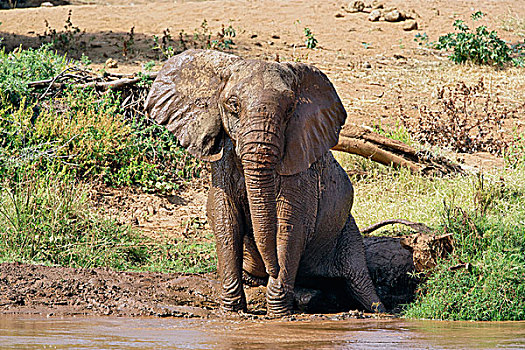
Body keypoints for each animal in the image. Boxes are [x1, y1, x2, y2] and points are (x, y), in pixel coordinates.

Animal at [143, 48, 384, 314]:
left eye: (290, 110)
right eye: (233, 105)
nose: (272, 270)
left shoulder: (300, 168)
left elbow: (290, 225)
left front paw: (278, 313)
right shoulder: (223, 160)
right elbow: (225, 219)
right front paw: (232, 311)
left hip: (348, 232)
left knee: (361, 284)